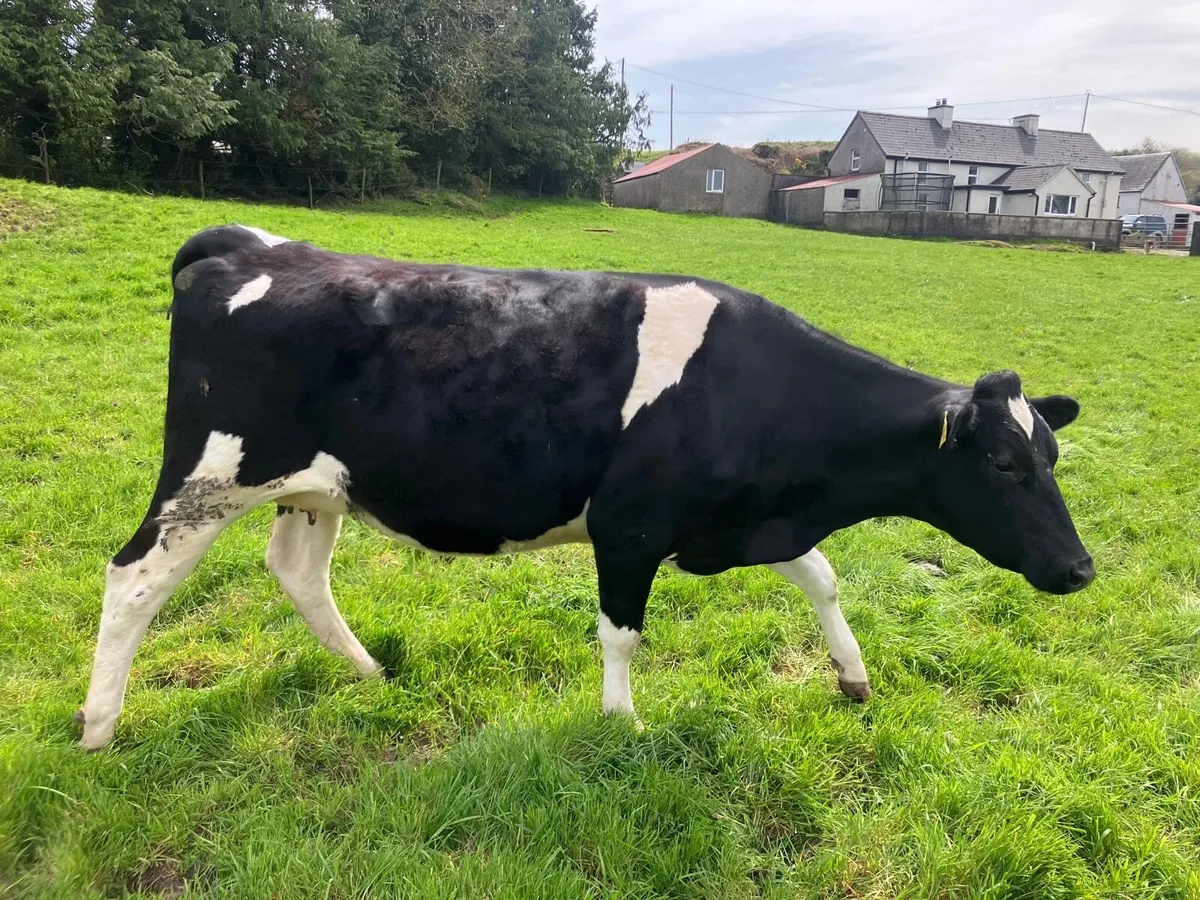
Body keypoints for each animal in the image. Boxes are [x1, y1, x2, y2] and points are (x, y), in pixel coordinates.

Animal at [75, 224, 1095, 750]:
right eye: (1004, 464)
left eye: (1052, 456)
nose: (1081, 570)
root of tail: (252, 244)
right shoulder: (631, 524)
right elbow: (622, 632)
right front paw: (621, 722)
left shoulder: (743, 522)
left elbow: (823, 578)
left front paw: (853, 675)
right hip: (210, 474)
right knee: (135, 579)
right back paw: (98, 725)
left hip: (316, 485)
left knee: (296, 569)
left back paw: (368, 672)